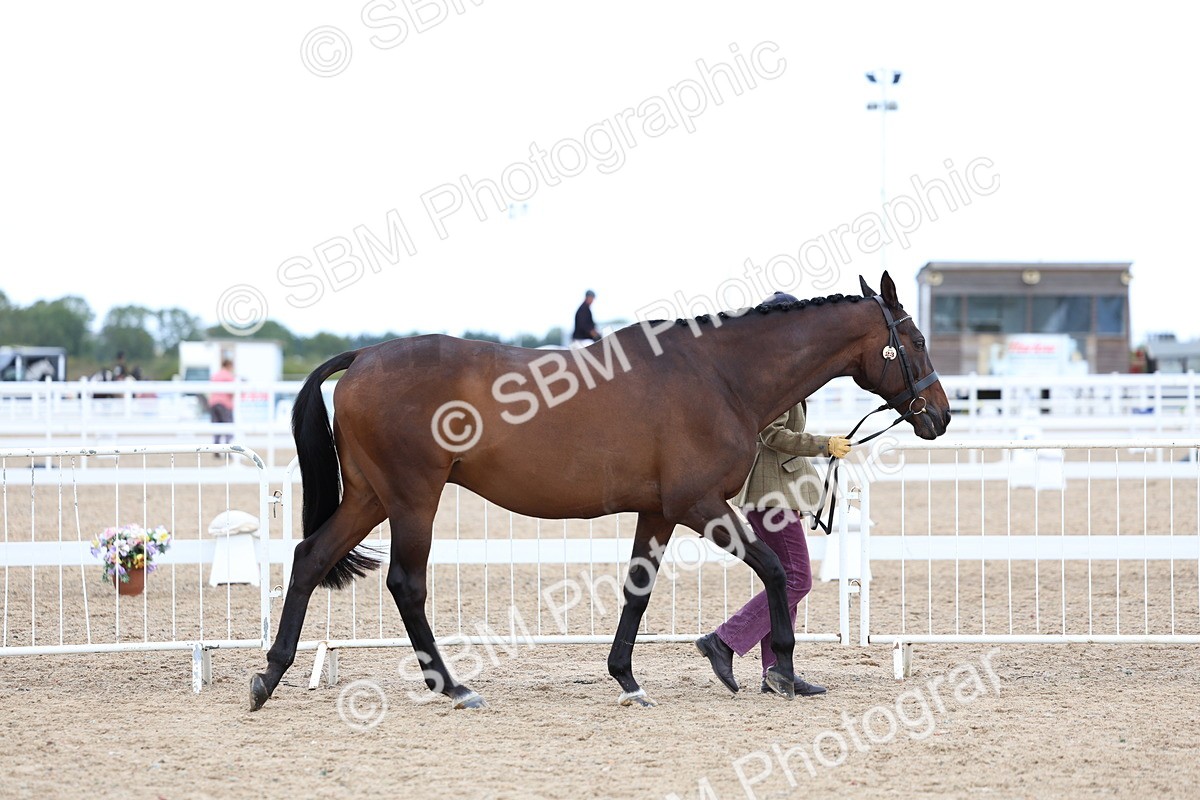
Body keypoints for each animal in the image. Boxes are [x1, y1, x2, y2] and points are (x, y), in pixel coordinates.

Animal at [249, 272, 950, 711]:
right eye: (915, 340)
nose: (940, 416)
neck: (719, 374)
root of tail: (364, 357)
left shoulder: (659, 513)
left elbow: (637, 591)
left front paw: (628, 679)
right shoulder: (701, 507)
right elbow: (776, 571)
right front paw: (781, 669)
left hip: (371, 497)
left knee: (310, 559)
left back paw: (271, 674)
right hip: (413, 499)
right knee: (405, 584)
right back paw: (451, 686)